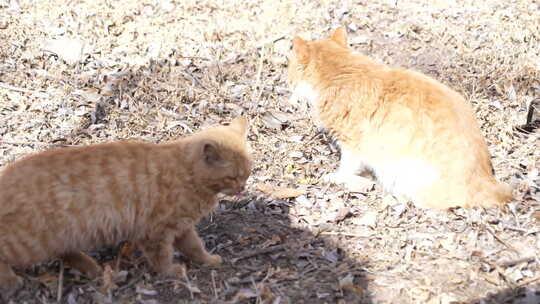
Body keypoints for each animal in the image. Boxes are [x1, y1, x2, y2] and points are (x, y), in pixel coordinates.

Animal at [0, 117, 252, 300]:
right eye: (233, 177)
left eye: (248, 172)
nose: (242, 187)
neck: (186, 172)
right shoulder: (156, 231)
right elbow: (162, 257)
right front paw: (171, 271)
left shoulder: (183, 227)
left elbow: (195, 247)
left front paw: (208, 260)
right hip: (29, 242)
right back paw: (11, 281)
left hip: (61, 235)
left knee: (65, 252)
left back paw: (91, 267)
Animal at [286, 26, 510, 209]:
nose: (287, 82)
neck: (342, 72)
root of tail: (486, 179)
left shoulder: (352, 142)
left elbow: (347, 165)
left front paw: (337, 177)